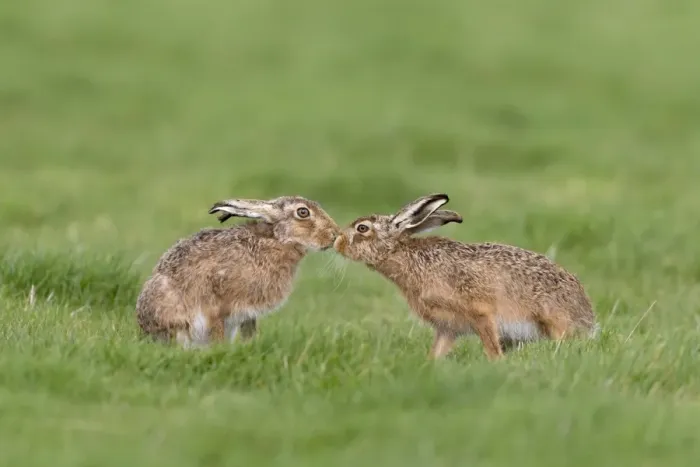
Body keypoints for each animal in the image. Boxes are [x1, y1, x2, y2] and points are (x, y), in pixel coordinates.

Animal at [333, 193, 598, 360]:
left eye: (362, 228)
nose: (337, 242)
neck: (405, 256)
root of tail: (588, 317)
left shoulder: (480, 312)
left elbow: (491, 348)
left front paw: (497, 364)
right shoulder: (447, 326)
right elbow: (437, 351)